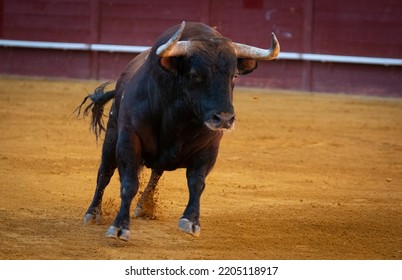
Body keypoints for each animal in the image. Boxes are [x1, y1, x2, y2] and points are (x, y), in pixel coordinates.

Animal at [78, 21, 280, 241]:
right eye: (194, 75)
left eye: (233, 75)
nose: (225, 119)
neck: (179, 118)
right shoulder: (129, 140)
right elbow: (128, 183)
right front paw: (119, 226)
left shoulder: (209, 148)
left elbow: (197, 183)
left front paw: (191, 221)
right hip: (112, 136)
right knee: (104, 173)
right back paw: (93, 212)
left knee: (156, 173)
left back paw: (144, 206)